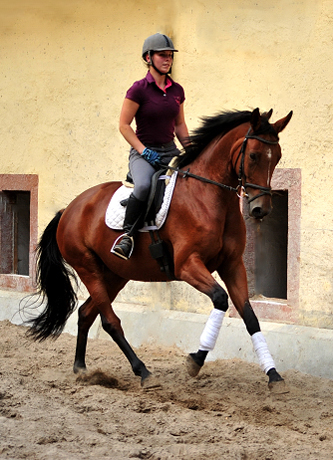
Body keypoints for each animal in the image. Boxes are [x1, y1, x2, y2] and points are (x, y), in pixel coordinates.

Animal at [26, 108, 290, 392]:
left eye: (277, 157)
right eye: (253, 155)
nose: (261, 209)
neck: (208, 196)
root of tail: (69, 209)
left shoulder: (232, 265)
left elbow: (250, 317)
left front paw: (274, 375)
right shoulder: (187, 265)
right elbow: (220, 299)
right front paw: (196, 360)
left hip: (115, 275)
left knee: (86, 313)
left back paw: (82, 369)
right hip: (88, 268)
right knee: (110, 321)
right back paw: (143, 371)